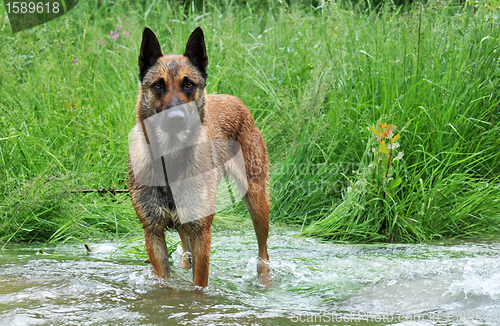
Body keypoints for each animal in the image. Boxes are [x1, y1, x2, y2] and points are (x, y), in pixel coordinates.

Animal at [127, 28, 272, 288]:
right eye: (158, 85)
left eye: (189, 84)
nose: (176, 119)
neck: (171, 158)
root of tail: (234, 99)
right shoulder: (153, 232)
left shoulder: (201, 233)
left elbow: (198, 285)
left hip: (257, 202)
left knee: (263, 252)